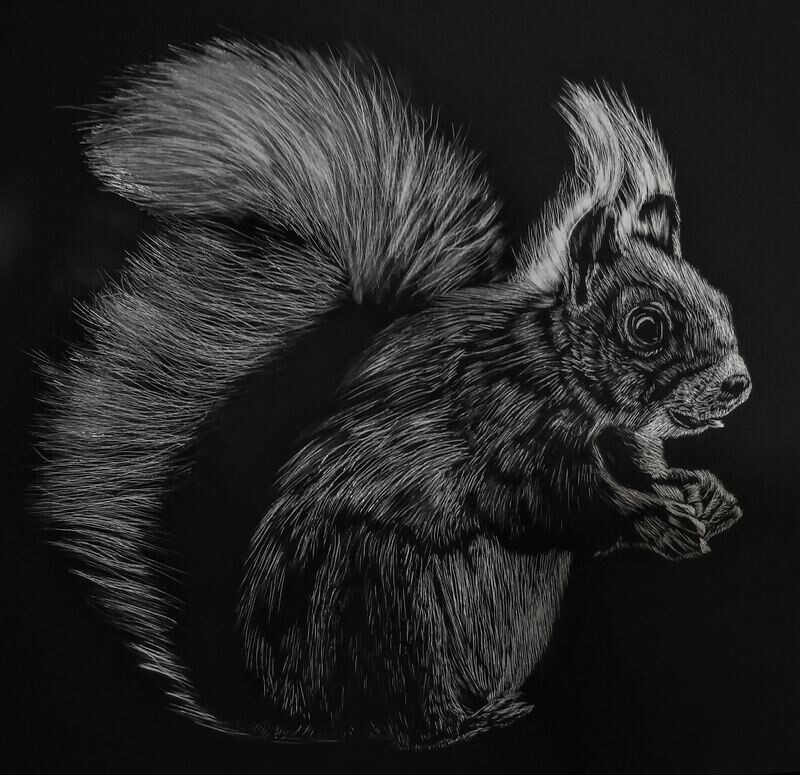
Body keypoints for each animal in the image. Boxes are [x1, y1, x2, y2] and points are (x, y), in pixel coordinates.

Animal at [33, 40, 751, 748]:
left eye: (720, 301)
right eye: (646, 327)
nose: (738, 383)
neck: (573, 383)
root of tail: (289, 714)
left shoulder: (623, 440)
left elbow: (639, 470)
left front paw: (702, 494)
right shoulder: (498, 420)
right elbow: (550, 500)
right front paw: (652, 519)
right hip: (386, 599)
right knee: (399, 715)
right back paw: (458, 723)